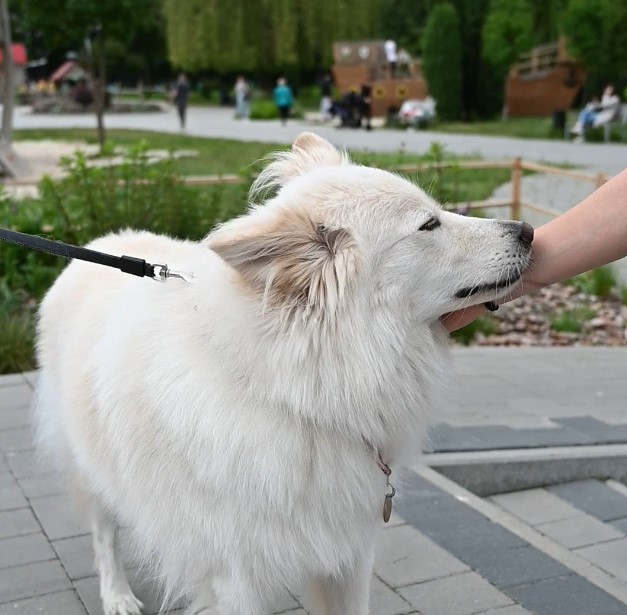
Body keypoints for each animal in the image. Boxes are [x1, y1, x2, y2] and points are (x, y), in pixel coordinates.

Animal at [34, 132, 532, 612]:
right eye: (429, 225)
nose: (528, 230)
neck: (296, 394)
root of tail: (101, 243)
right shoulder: (235, 581)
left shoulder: (349, 556)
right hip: (93, 470)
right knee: (104, 535)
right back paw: (117, 596)